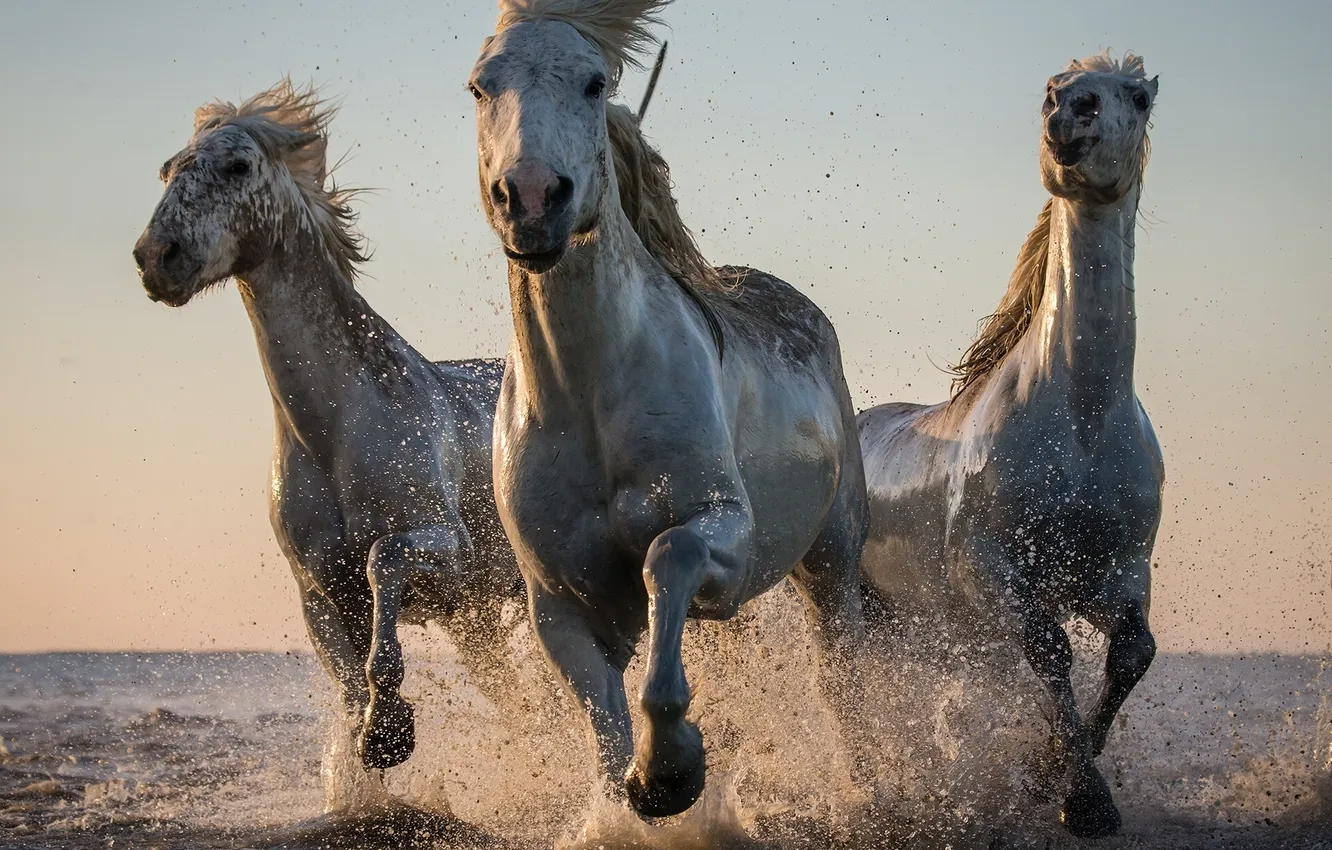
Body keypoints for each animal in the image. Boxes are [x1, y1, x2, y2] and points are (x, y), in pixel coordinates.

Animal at [131, 82, 525, 799]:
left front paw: (390, 727)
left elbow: (383, 565)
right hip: (480, 627)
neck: (337, 429)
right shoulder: (318, 592)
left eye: (237, 166)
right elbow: (346, 686)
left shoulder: (442, 548)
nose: (156, 258)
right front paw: (376, 740)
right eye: (169, 169)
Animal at [469, 0, 869, 819]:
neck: (591, 396)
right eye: (480, 86)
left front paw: (671, 770)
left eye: (594, 83)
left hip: (833, 562)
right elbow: (605, 727)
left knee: (841, 676)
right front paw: (640, 781)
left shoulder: (725, 530)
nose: (532, 197)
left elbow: (669, 556)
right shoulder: (561, 603)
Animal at [857, 53, 1163, 838]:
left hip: (922, 627)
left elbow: (1132, 654)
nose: (1072, 114)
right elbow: (1051, 653)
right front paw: (1082, 799)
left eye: (1138, 96)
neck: (1082, 416)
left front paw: (1047, 773)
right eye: (1052, 89)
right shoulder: (995, 574)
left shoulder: (1116, 574)